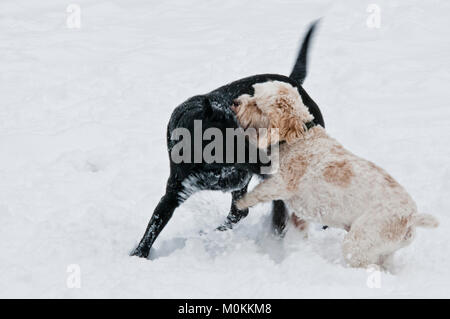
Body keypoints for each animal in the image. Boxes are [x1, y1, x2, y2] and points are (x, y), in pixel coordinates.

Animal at [130, 21, 324, 258]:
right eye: (231, 140)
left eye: (248, 131)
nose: (269, 161)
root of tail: (294, 82)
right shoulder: (174, 192)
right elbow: (152, 228)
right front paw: (137, 255)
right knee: (238, 213)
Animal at [234, 80, 438, 268]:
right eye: (252, 94)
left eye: (257, 104)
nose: (236, 102)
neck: (300, 137)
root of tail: (410, 217)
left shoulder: (283, 183)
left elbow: (259, 192)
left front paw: (240, 204)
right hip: (384, 252)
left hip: (358, 243)